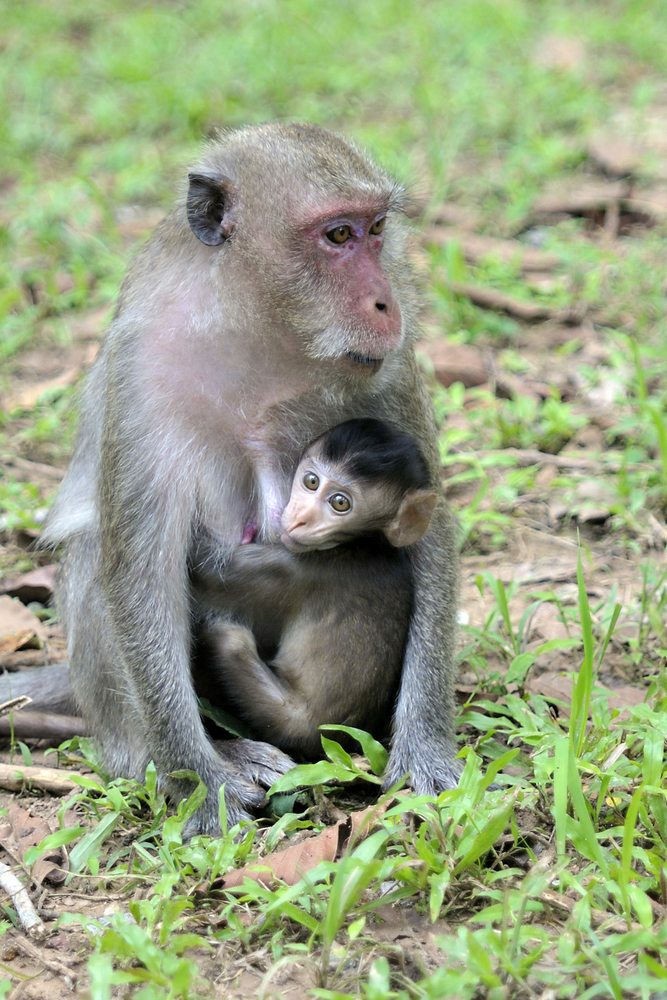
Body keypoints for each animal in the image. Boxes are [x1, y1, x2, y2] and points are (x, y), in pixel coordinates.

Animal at [192, 418, 438, 757]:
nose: (300, 518)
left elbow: (203, 567)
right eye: (311, 481)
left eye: (340, 503)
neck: (365, 542)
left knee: (232, 640)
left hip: (286, 720)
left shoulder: (294, 567)